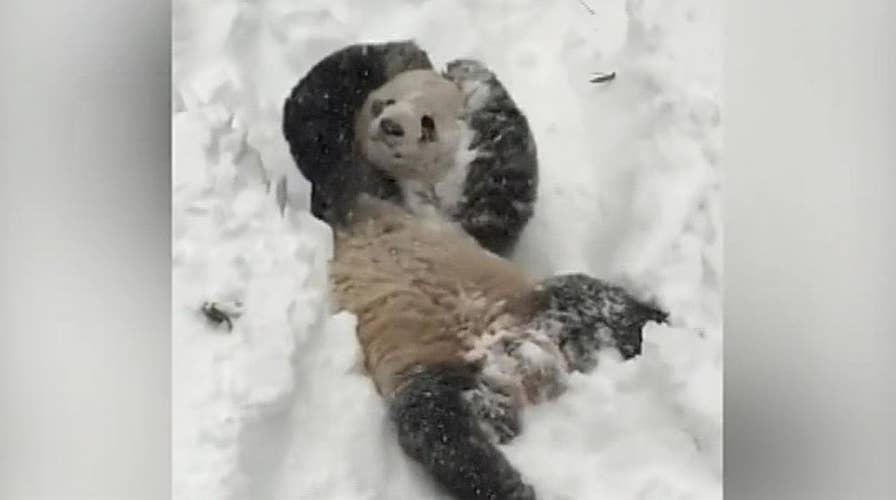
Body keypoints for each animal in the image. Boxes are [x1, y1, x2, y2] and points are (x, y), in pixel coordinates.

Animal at [282, 41, 667, 500]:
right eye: (384, 102)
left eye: (427, 124)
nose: (390, 126)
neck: (407, 189)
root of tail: (521, 371)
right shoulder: (347, 189)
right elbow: (311, 113)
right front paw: (411, 56)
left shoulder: (471, 227)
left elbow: (502, 191)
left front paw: (468, 75)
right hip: (430, 368)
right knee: (443, 432)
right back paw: (512, 486)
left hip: (544, 306)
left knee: (610, 306)